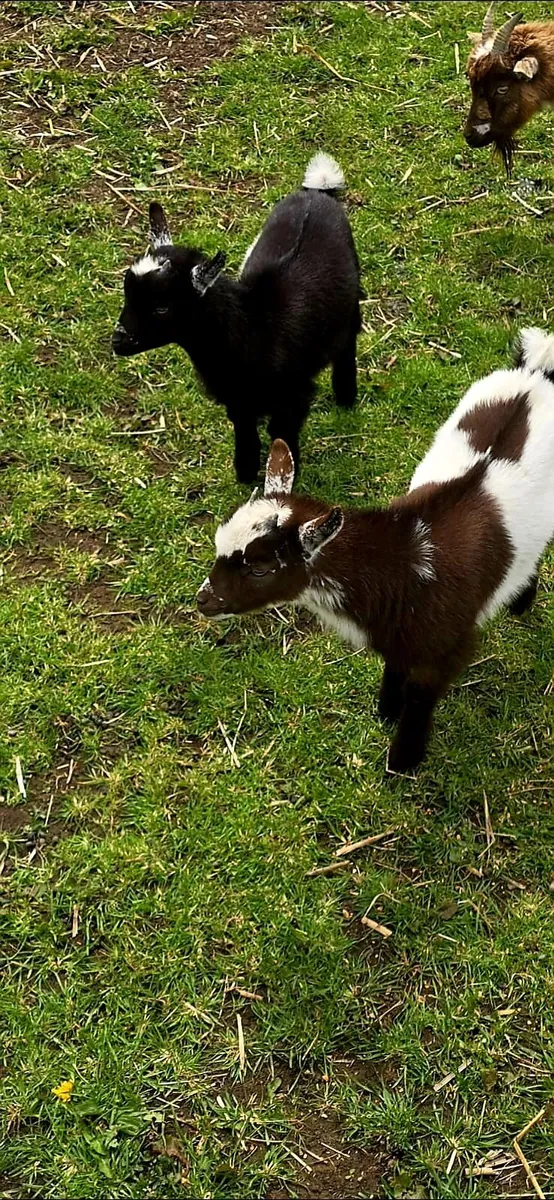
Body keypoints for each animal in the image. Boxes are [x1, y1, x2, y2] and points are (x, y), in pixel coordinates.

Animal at [113, 153, 362, 484]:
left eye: (162, 308)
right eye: (127, 293)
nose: (118, 340)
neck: (254, 325)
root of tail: (317, 194)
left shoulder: (294, 394)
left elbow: (281, 432)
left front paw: (284, 477)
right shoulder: (237, 397)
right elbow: (244, 428)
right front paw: (245, 470)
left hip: (351, 302)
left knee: (348, 342)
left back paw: (346, 397)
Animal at [198, 328, 554, 773]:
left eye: (261, 569)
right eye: (218, 542)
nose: (203, 601)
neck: (409, 561)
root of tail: (535, 373)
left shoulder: (447, 649)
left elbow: (421, 698)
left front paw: (402, 763)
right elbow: (394, 667)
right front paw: (385, 711)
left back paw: (521, 602)